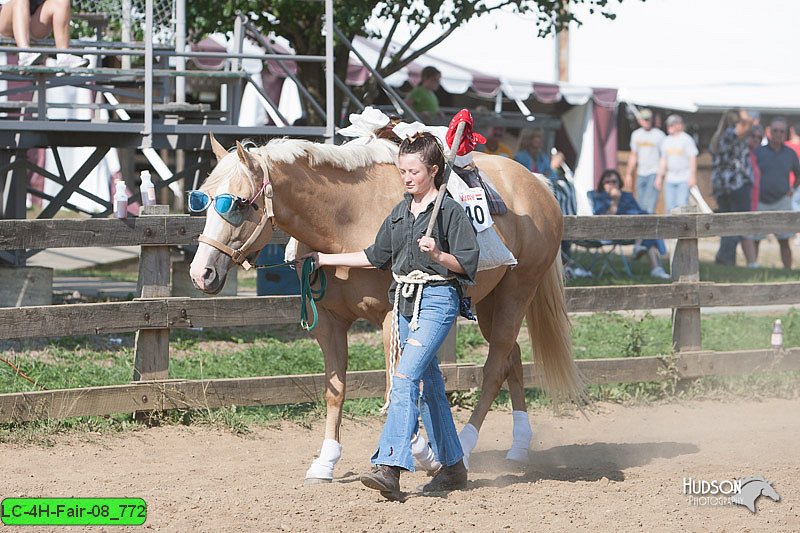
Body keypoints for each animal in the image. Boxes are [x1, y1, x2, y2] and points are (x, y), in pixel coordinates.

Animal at [191, 134, 584, 482]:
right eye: (205, 201)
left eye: (239, 203)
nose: (201, 273)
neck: (347, 219)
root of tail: (537, 184)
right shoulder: (329, 324)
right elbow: (336, 390)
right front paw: (326, 461)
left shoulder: (389, 320)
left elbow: (395, 385)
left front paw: (420, 452)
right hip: (490, 302)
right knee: (511, 358)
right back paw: (519, 445)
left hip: (517, 293)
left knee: (493, 368)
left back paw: (468, 445)